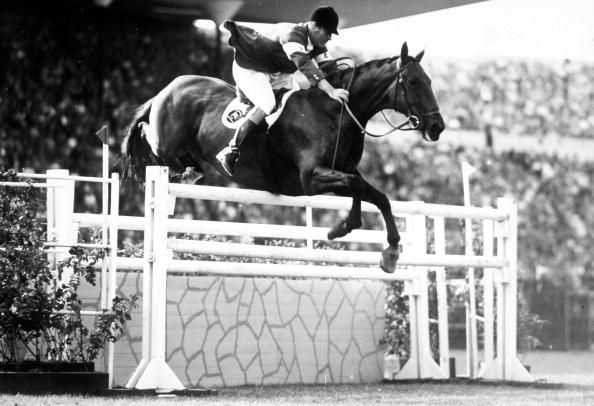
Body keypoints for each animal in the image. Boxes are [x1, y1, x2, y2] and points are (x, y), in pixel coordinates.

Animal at [120, 42, 442, 272]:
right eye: (413, 82)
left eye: (429, 80)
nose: (437, 126)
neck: (336, 111)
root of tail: (169, 87)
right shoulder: (311, 179)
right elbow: (360, 188)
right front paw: (355, 231)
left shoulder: (342, 170)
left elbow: (375, 195)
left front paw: (385, 249)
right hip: (164, 142)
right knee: (147, 132)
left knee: (187, 163)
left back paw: (189, 173)